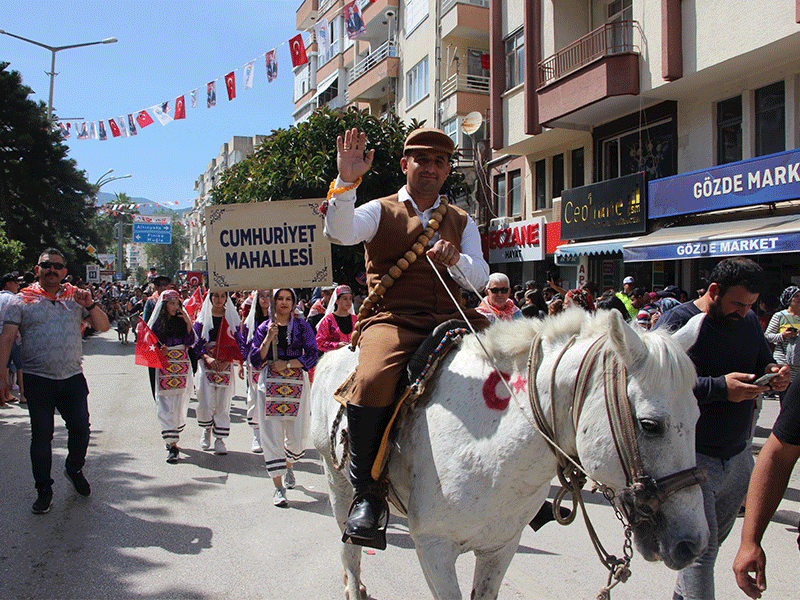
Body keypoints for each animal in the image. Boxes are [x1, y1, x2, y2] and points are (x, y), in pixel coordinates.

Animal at [310, 310, 708, 600]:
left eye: (699, 417)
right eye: (650, 425)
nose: (692, 544)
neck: (490, 451)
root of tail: (336, 351)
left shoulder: (500, 547)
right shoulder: (434, 547)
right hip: (337, 480)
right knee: (350, 549)